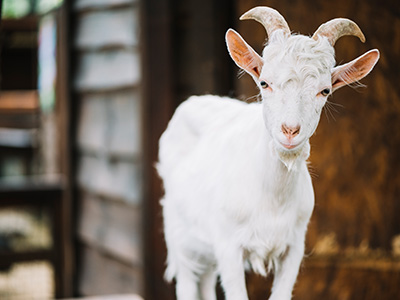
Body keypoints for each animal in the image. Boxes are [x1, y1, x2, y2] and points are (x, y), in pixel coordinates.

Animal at [156, 5, 378, 300]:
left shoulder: (293, 247)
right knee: (187, 282)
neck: (273, 197)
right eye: (264, 83)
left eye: (325, 90)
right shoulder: (228, 246)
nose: (290, 130)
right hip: (180, 237)